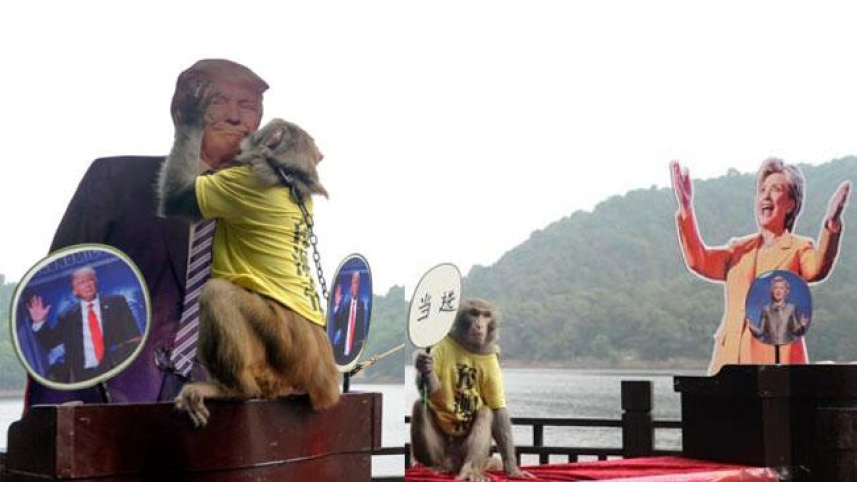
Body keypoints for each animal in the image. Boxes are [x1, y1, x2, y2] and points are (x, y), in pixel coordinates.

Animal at [157, 80, 339, 427]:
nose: (243, 132)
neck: (286, 175)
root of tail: (325, 381)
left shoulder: (236, 187)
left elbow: (177, 198)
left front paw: (193, 116)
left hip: (284, 352)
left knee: (217, 293)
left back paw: (234, 389)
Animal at [411, 299, 533, 481]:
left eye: (486, 315)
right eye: (474, 313)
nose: (480, 325)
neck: (470, 346)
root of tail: (453, 465)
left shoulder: (492, 358)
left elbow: (497, 409)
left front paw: (512, 469)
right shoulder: (441, 346)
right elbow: (431, 390)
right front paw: (425, 366)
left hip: (465, 455)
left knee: (485, 412)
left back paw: (471, 470)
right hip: (443, 453)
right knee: (420, 405)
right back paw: (437, 467)